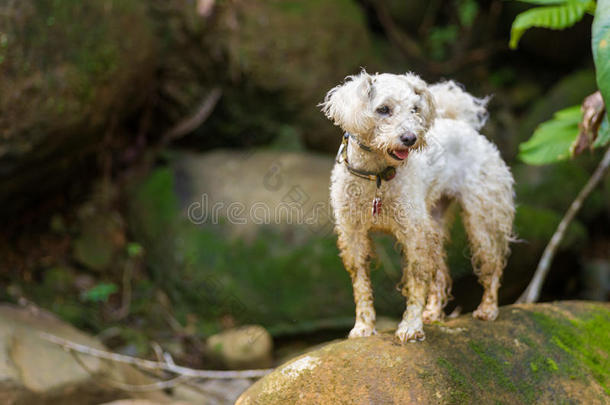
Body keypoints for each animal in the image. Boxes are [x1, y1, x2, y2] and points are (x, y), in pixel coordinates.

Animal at [318, 71, 512, 342]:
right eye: (383, 109)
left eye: (414, 109)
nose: (410, 138)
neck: (377, 177)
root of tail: (464, 126)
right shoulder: (352, 233)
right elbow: (361, 284)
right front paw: (363, 327)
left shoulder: (414, 234)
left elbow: (417, 281)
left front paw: (410, 327)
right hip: (435, 223)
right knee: (441, 273)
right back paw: (432, 313)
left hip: (481, 219)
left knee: (492, 264)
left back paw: (487, 309)